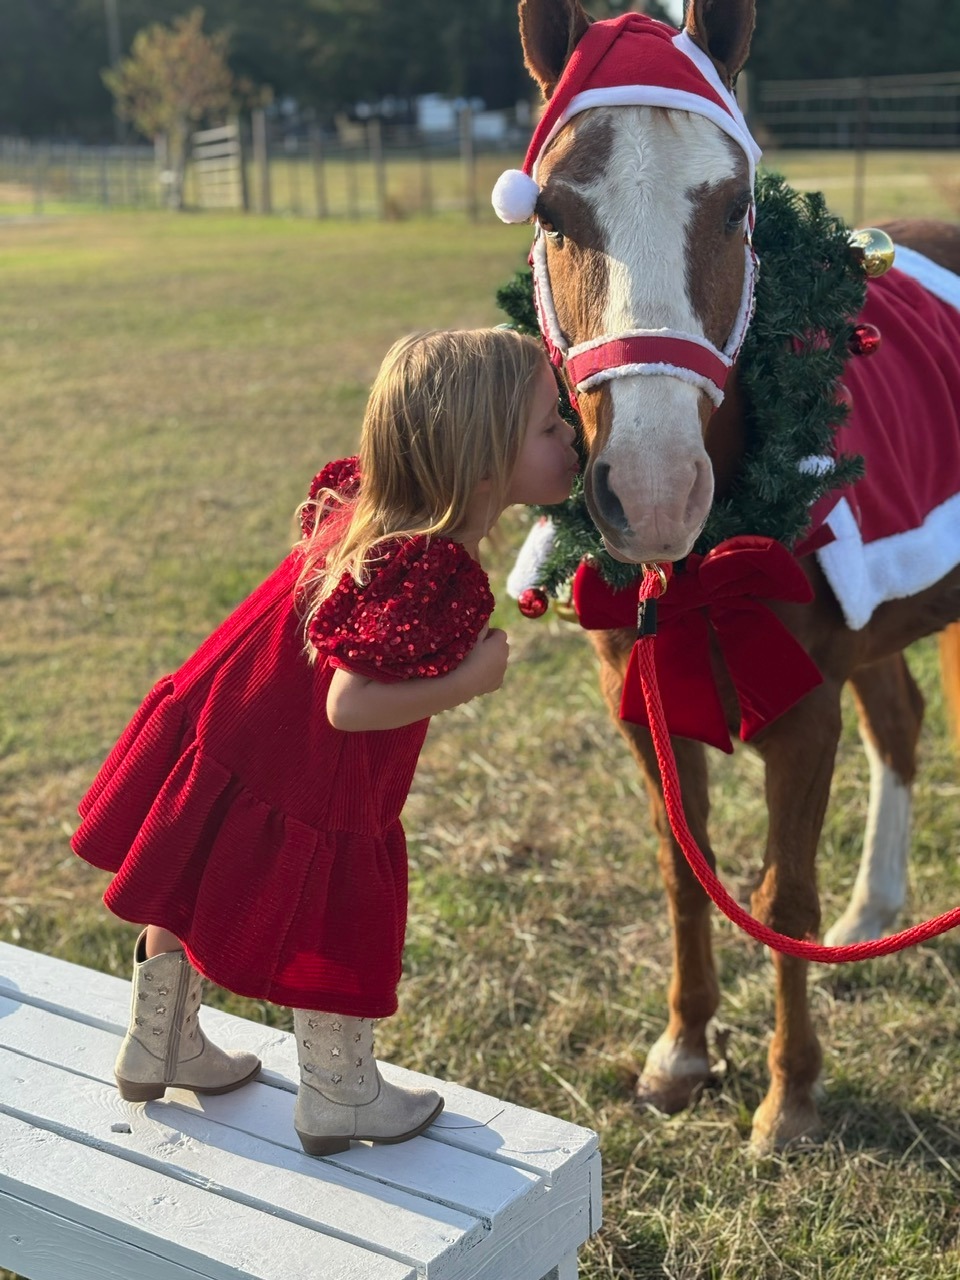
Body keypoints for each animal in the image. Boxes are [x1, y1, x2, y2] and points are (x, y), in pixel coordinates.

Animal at [508, 0, 960, 1151]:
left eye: (737, 208)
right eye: (554, 215)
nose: (655, 489)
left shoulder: (801, 714)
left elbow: (782, 894)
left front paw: (790, 1090)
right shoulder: (641, 702)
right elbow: (685, 873)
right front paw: (683, 1048)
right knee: (901, 724)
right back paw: (874, 914)